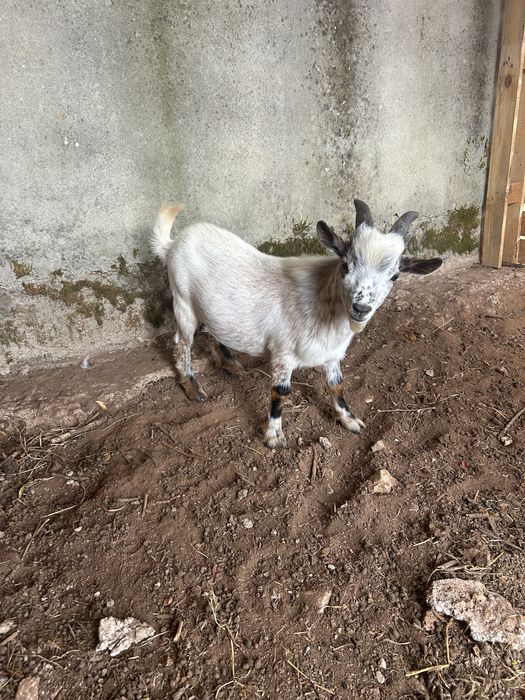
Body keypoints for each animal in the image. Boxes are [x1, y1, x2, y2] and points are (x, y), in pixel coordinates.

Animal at [151, 199, 442, 448]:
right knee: (182, 342)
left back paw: (229, 362)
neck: (322, 301)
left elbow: (337, 385)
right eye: (346, 265)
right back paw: (192, 386)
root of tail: (174, 243)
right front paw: (274, 437)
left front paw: (349, 420)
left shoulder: (332, 354)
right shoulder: (283, 354)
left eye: (395, 276)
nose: (361, 308)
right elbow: (280, 393)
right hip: (183, 301)